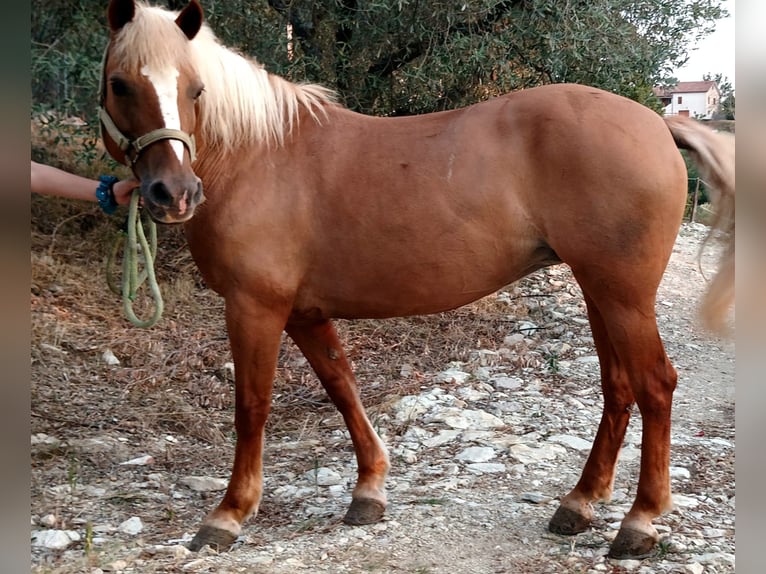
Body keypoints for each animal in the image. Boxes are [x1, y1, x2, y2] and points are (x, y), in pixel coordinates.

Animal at [99, 0, 736, 560]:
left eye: (194, 89)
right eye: (120, 85)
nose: (173, 194)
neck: (259, 155)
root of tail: (657, 121)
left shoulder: (255, 306)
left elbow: (251, 405)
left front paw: (228, 514)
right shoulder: (304, 312)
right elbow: (342, 386)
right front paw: (369, 490)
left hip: (624, 295)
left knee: (655, 385)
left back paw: (640, 522)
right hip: (600, 290)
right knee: (618, 386)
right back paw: (579, 504)